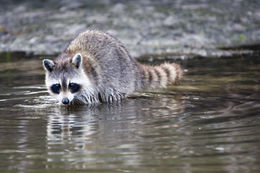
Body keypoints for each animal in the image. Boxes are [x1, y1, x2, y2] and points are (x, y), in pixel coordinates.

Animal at [42, 30, 183, 104]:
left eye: (71, 84)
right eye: (57, 86)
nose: (65, 101)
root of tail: (131, 63)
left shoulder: (92, 85)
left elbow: (91, 102)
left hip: (122, 78)